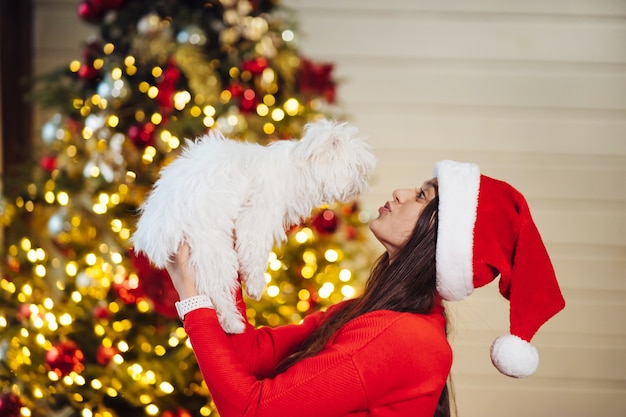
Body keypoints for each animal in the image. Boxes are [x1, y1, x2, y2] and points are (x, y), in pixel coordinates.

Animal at [132, 118, 372, 334]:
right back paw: (233, 323)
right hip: (211, 245)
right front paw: (255, 285)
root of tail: (156, 228)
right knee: (215, 288)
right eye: (358, 167)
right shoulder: (257, 215)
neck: (297, 168)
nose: (364, 181)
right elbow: (254, 253)